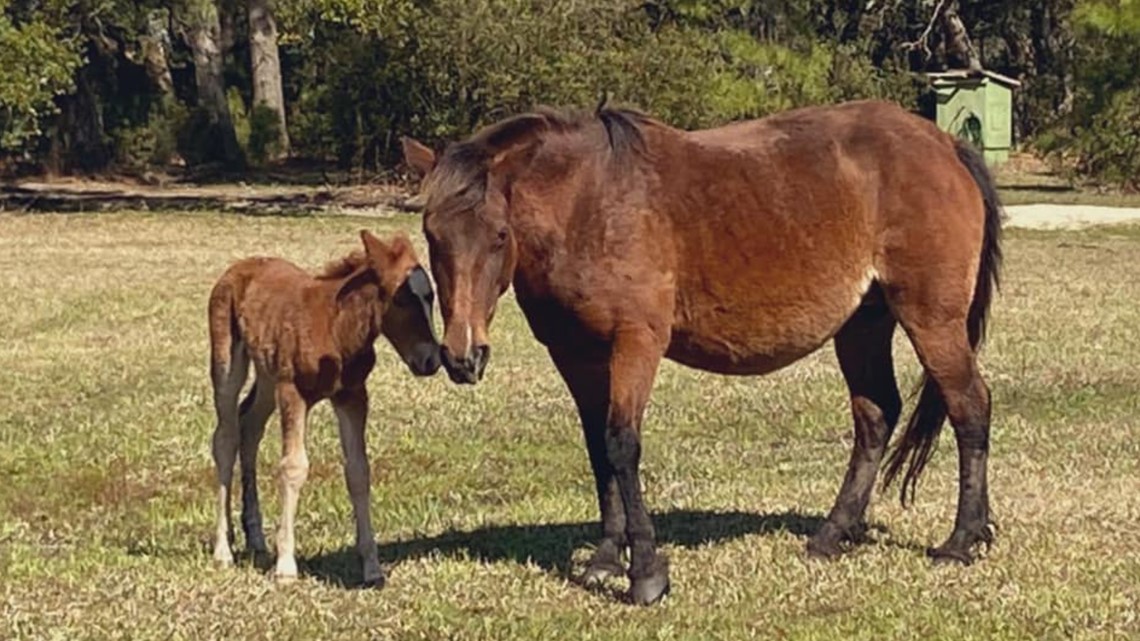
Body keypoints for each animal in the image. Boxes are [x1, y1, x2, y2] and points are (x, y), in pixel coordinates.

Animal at [207, 230, 441, 587]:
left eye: (431, 298)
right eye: (401, 300)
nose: (431, 361)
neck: (335, 328)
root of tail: (238, 268)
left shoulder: (352, 396)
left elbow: (358, 471)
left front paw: (372, 567)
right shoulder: (292, 391)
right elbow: (293, 467)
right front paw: (286, 566)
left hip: (267, 374)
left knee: (250, 427)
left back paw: (256, 539)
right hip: (228, 359)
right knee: (226, 437)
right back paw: (223, 550)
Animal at [401, 99, 1002, 605]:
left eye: (499, 235)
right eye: (432, 235)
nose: (462, 355)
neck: (590, 205)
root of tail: (945, 144)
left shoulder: (636, 342)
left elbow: (621, 444)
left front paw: (646, 573)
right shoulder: (576, 355)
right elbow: (597, 450)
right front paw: (605, 559)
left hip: (930, 319)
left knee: (969, 406)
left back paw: (962, 539)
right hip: (862, 325)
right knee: (876, 416)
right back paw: (832, 535)